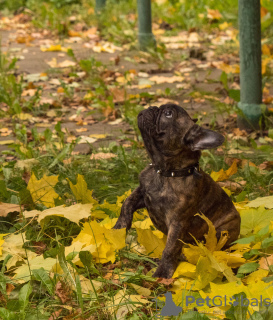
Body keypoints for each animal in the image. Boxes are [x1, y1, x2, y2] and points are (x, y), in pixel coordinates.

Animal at [112, 104, 240, 278]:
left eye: (168, 114)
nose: (152, 106)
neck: (166, 172)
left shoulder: (177, 222)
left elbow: (170, 248)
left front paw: (162, 272)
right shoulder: (142, 192)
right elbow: (127, 203)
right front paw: (119, 228)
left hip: (222, 231)